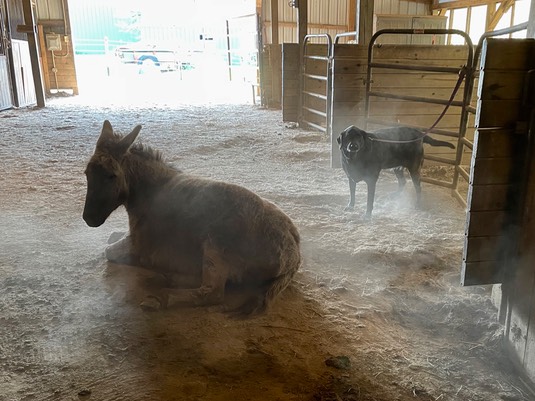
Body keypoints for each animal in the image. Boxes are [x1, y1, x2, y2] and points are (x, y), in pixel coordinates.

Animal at [83, 120, 301, 315]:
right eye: (86, 173)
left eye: (112, 176)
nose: (89, 218)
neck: (151, 191)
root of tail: (293, 249)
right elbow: (113, 236)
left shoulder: (138, 248)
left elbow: (108, 250)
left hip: (214, 246)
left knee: (212, 293)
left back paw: (159, 296)